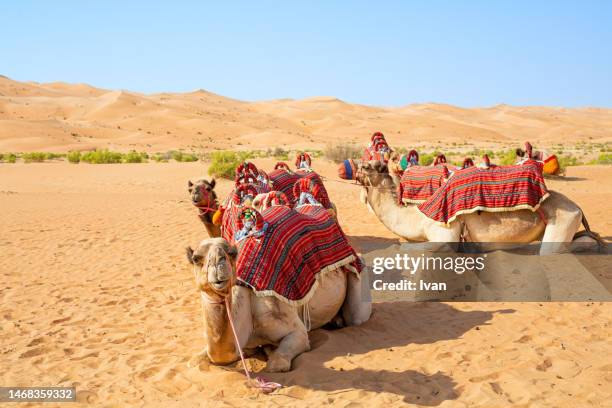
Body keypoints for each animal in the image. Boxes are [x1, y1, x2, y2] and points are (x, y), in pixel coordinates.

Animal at [184, 237, 370, 372]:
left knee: (355, 317)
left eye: (231, 253)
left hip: (358, 274)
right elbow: (195, 361)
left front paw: (270, 352)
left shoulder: (293, 329)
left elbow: (277, 363)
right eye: (196, 258)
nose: (218, 263)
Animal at [358, 161, 596, 253]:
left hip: (562, 221)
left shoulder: (445, 233)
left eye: (372, 166)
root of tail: (578, 207)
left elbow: (406, 248)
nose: (358, 165)